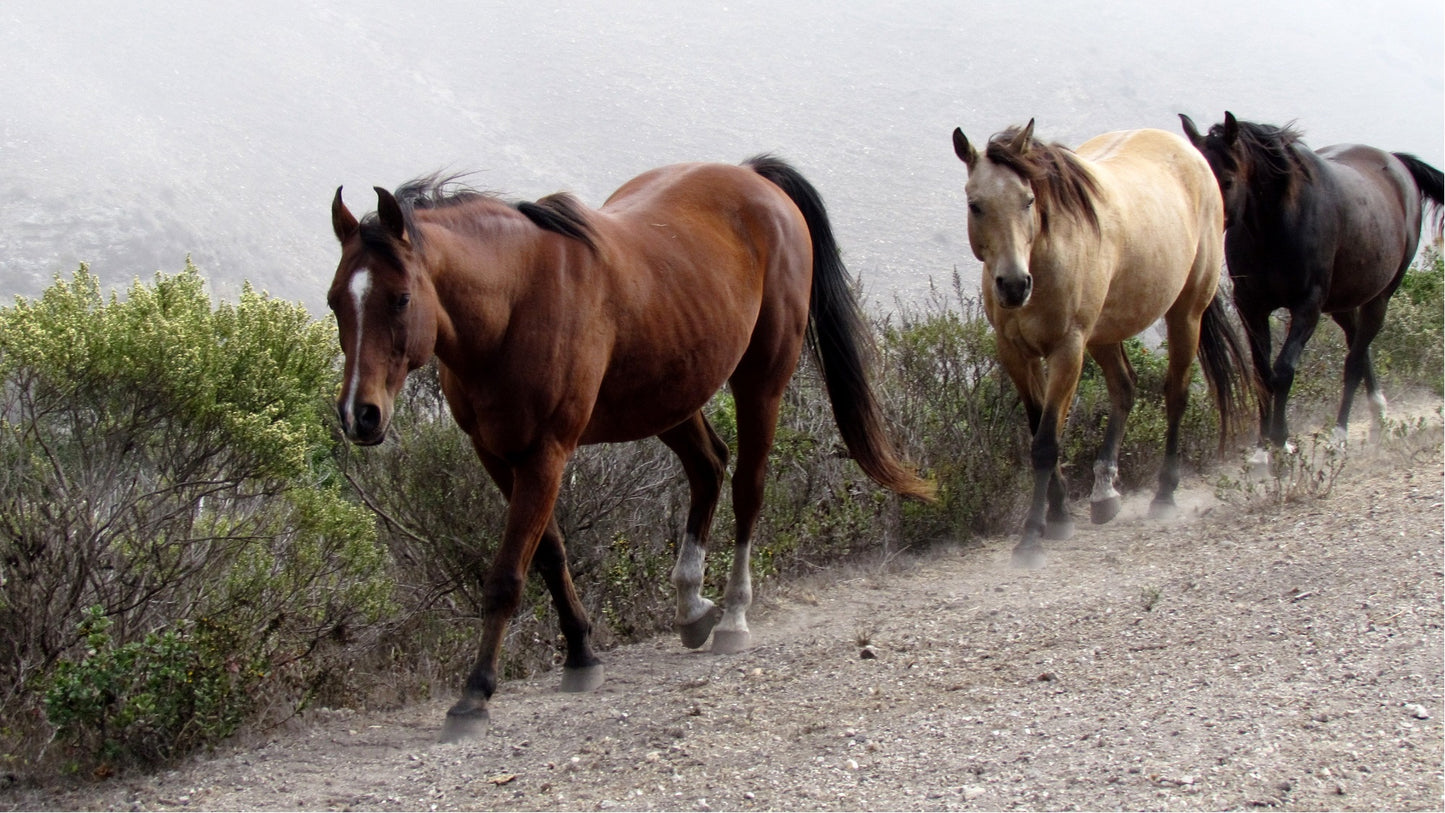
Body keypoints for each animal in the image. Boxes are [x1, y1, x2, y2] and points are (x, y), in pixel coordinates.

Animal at [328, 154, 930, 745]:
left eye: (401, 298)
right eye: (336, 302)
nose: (360, 415)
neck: (516, 301)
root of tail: (751, 175)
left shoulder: (545, 454)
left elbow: (506, 577)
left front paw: (474, 695)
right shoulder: (499, 456)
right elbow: (548, 554)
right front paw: (581, 655)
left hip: (761, 383)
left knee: (748, 490)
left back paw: (732, 617)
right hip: (670, 396)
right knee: (708, 467)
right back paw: (691, 607)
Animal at [1179, 111, 1439, 456]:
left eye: (1228, 180)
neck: (1278, 228)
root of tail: (1396, 162)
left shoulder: (1307, 307)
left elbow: (1283, 371)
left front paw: (1281, 441)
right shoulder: (1251, 306)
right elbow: (1262, 372)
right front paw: (1262, 449)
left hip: (1380, 297)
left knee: (1354, 360)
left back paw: (1340, 435)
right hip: (1341, 302)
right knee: (1358, 345)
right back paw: (1377, 416)